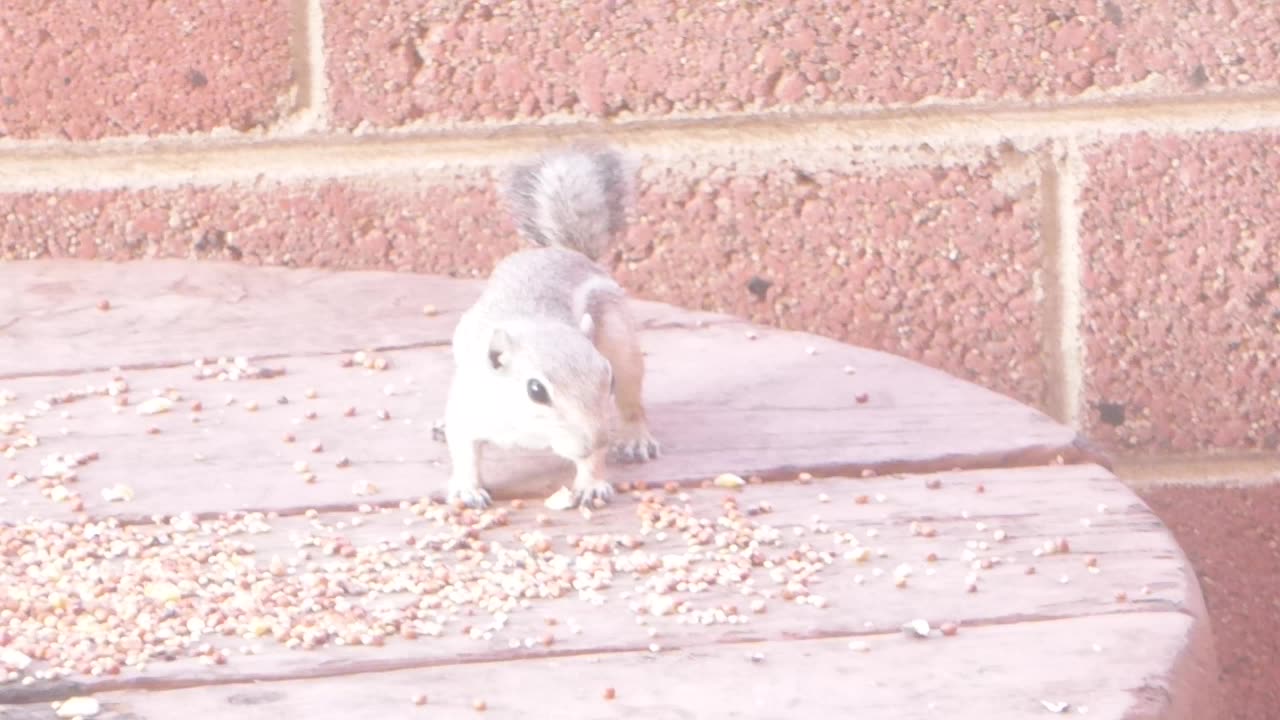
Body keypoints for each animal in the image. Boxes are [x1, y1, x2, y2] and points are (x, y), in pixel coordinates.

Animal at [442, 144, 660, 509]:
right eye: (536, 391)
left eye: (608, 380)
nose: (594, 441)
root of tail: (562, 252)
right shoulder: (469, 406)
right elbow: (463, 449)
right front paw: (467, 489)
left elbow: (591, 459)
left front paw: (591, 484)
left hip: (622, 342)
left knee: (633, 404)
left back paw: (635, 439)